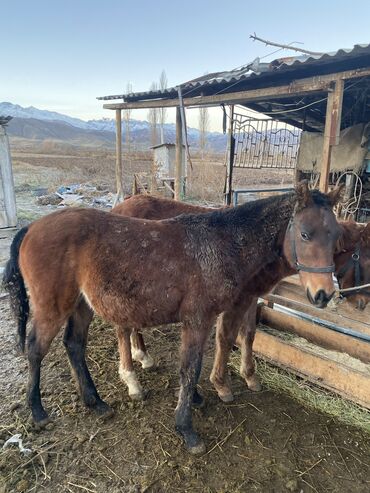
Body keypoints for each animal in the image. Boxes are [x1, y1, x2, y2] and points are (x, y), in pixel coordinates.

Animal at [4, 182, 342, 454]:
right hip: (52, 307)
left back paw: (96, 402)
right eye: (304, 234)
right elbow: (191, 367)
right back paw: (39, 412)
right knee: (35, 349)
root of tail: (31, 229)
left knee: (74, 345)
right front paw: (187, 428)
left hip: (82, 305)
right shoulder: (199, 319)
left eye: (335, 237)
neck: (223, 244)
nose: (323, 294)